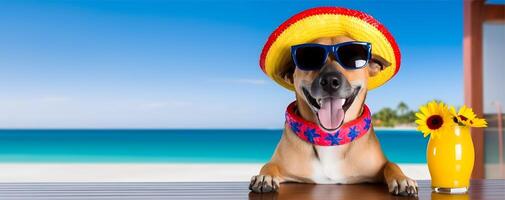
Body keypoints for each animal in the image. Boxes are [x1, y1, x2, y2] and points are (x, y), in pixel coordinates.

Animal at [248, 35, 418, 196]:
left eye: (353, 57)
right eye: (310, 56)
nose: (330, 81)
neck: (330, 138)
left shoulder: (378, 168)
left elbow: (391, 164)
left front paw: (402, 179)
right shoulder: (280, 164)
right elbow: (269, 165)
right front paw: (265, 177)